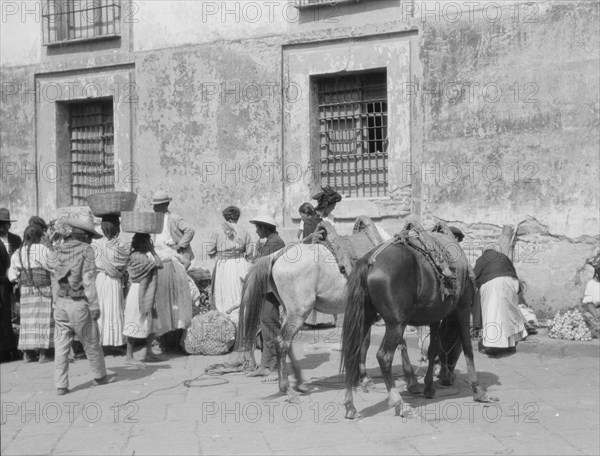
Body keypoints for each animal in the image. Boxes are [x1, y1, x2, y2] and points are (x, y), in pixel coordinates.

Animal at [340, 237, 490, 418]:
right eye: (455, 346)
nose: (448, 378)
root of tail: (369, 261)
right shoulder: (463, 307)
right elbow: (468, 348)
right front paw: (478, 389)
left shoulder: (435, 316)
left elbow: (433, 349)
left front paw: (429, 387)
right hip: (396, 324)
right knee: (384, 356)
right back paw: (399, 403)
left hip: (365, 317)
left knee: (351, 351)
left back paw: (350, 405)